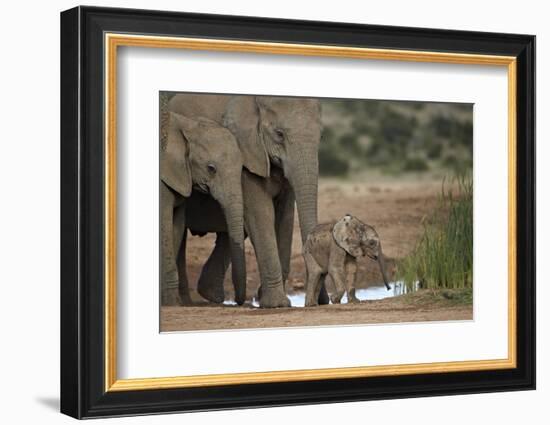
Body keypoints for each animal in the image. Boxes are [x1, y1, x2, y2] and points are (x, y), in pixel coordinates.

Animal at [160, 110, 246, 304]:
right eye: (211, 168)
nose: (239, 301)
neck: (188, 126)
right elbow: (165, 225)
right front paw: (171, 303)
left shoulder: (180, 176)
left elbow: (176, 226)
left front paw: (169, 302)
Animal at [170, 93, 330, 306]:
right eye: (279, 134)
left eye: (321, 136)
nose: (322, 301)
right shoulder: (248, 154)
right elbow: (261, 214)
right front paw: (276, 305)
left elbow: (285, 218)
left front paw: (267, 298)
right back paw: (187, 302)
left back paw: (210, 295)